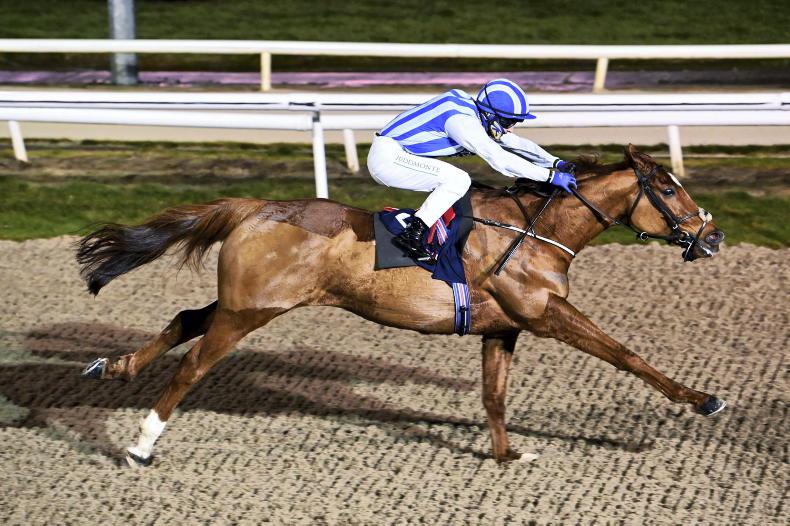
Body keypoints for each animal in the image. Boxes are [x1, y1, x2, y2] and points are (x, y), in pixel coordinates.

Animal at [76, 144, 727, 467]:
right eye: (666, 188)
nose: (713, 235)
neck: (538, 230)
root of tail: (257, 207)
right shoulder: (545, 313)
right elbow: (624, 354)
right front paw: (702, 399)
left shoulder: (504, 327)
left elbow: (494, 396)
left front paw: (507, 454)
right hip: (248, 313)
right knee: (193, 366)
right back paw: (140, 445)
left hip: (251, 302)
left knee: (185, 320)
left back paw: (116, 366)